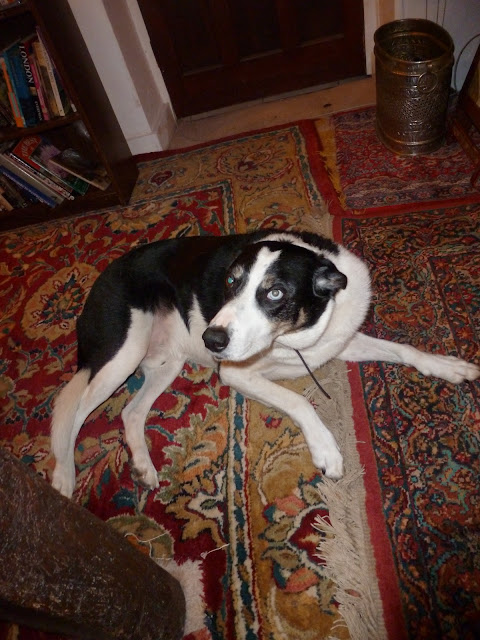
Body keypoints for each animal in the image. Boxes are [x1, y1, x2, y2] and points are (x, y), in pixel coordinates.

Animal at [51, 229, 479, 497]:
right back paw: (63, 477)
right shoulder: (235, 372)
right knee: (73, 413)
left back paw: (142, 465)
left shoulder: (338, 341)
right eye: (230, 282)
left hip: (166, 362)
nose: (212, 339)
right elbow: (299, 400)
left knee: (131, 412)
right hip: (121, 353)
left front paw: (449, 366)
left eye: (275, 293)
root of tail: (99, 279)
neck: (293, 339)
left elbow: (403, 349)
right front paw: (326, 449)